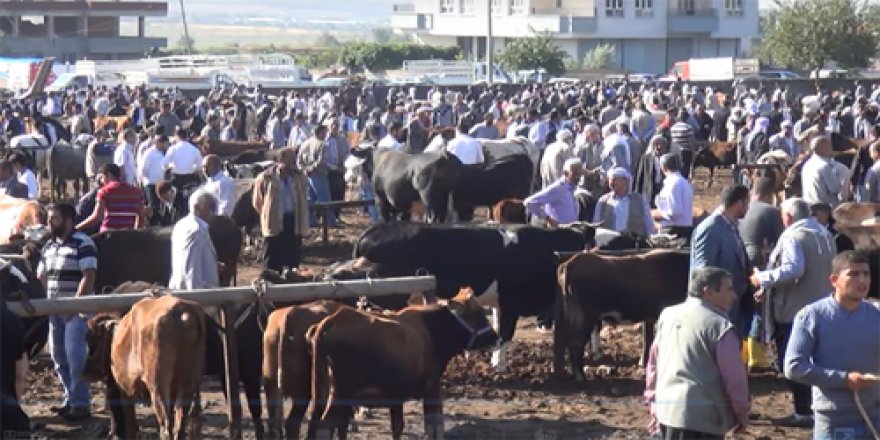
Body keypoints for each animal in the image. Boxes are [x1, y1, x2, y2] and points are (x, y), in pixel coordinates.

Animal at [82, 296, 206, 440]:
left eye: (91, 340)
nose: (84, 372)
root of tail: (182, 311)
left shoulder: (123, 390)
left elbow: (129, 425)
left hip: (157, 387)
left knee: (166, 425)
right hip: (188, 386)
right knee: (179, 424)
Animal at [312, 288, 502, 440]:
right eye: (478, 315)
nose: (498, 339)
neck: (434, 329)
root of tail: (334, 318)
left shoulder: (396, 397)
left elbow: (398, 427)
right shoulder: (432, 388)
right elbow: (433, 426)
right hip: (340, 393)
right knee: (326, 425)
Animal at [556, 251, 688, 382]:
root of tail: (570, 263)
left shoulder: (650, 317)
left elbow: (648, 339)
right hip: (585, 317)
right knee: (576, 343)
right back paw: (581, 377)